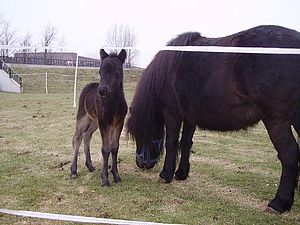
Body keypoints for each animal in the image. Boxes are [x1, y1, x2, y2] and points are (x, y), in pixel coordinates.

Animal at [71, 48, 127, 186]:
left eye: (117, 71)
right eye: (100, 71)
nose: (101, 90)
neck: (114, 103)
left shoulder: (119, 123)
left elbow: (114, 147)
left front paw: (116, 176)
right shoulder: (104, 122)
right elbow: (105, 149)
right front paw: (105, 179)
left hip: (94, 122)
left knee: (87, 136)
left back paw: (90, 165)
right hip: (83, 118)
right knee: (77, 138)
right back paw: (73, 171)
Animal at [126, 25, 300, 214]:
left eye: (139, 133)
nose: (141, 163)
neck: (167, 69)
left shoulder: (172, 113)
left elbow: (171, 142)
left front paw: (166, 175)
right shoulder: (190, 116)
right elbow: (186, 143)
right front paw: (181, 174)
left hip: (276, 119)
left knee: (290, 153)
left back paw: (279, 203)